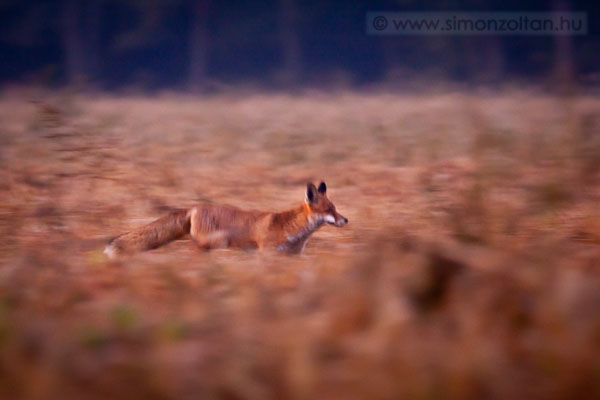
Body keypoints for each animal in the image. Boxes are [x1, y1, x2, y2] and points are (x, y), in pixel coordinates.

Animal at [103, 180, 346, 258]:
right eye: (329, 210)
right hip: (215, 245)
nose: (346, 220)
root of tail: (194, 207)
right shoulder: (266, 253)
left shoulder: (293, 257)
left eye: (336, 209)